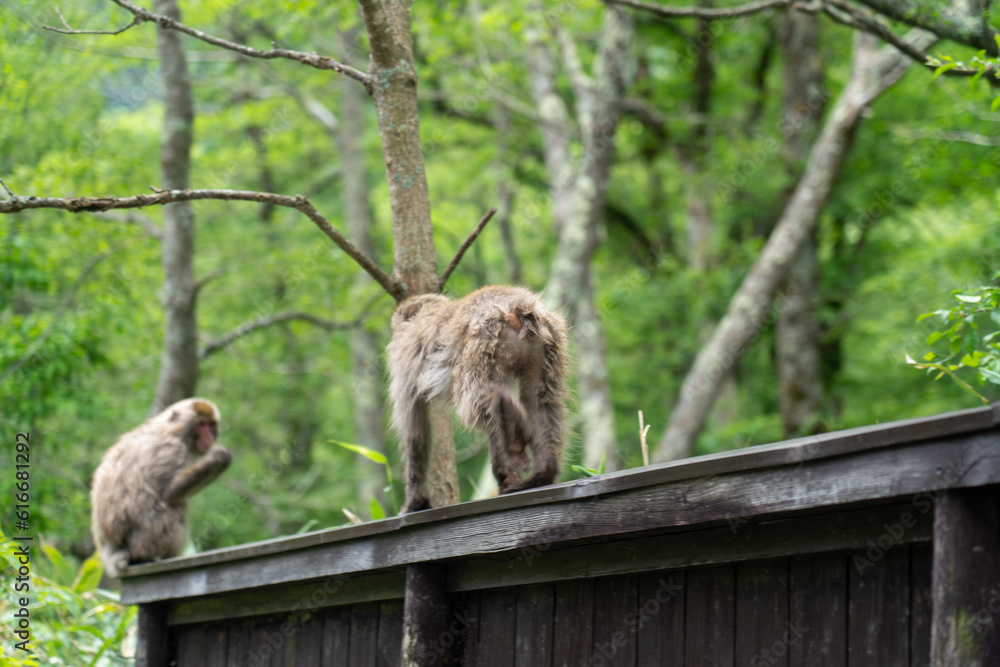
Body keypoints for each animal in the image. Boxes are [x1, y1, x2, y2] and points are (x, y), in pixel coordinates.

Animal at [90, 397, 231, 577]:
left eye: (211, 425)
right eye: (201, 425)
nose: (209, 437)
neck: (173, 432)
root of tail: (112, 554)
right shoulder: (170, 450)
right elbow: (169, 493)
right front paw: (218, 459)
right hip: (148, 538)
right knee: (173, 507)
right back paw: (148, 557)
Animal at [387, 285, 568, 513]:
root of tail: (516, 306)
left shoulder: (404, 367)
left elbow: (416, 433)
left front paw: (414, 502)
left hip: (482, 340)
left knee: (475, 399)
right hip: (540, 346)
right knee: (537, 401)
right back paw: (542, 470)